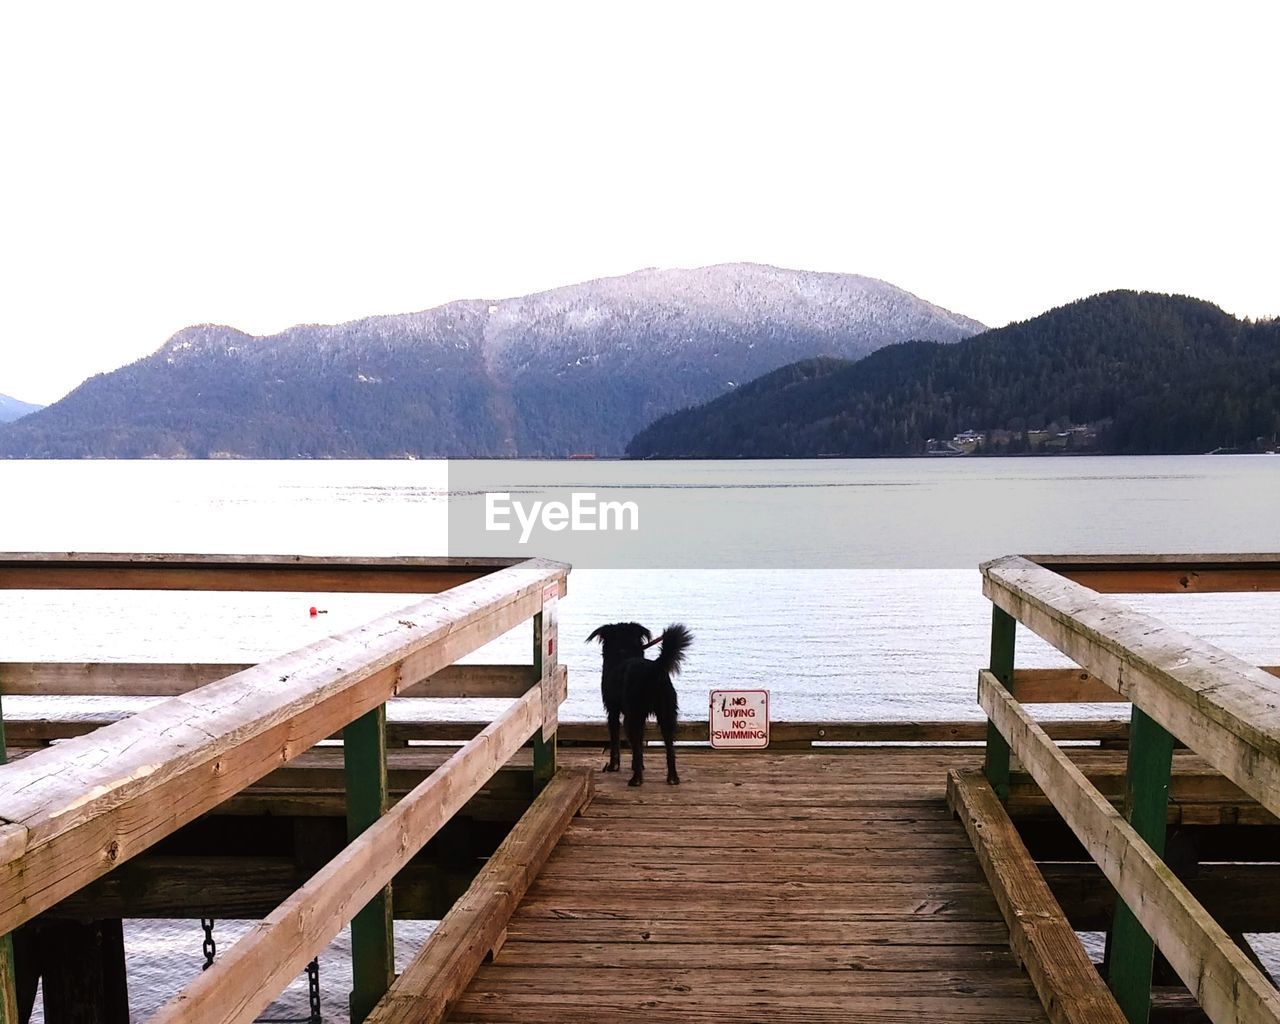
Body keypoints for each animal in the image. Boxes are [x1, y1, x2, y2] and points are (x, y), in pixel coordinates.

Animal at [586, 624, 691, 783]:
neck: (623, 651)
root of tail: (654, 668)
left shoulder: (613, 711)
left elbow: (616, 741)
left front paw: (613, 766)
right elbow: (641, 744)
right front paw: (639, 765)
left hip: (633, 716)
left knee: (635, 745)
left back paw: (636, 779)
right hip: (667, 712)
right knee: (670, 748)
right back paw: (672, 777)